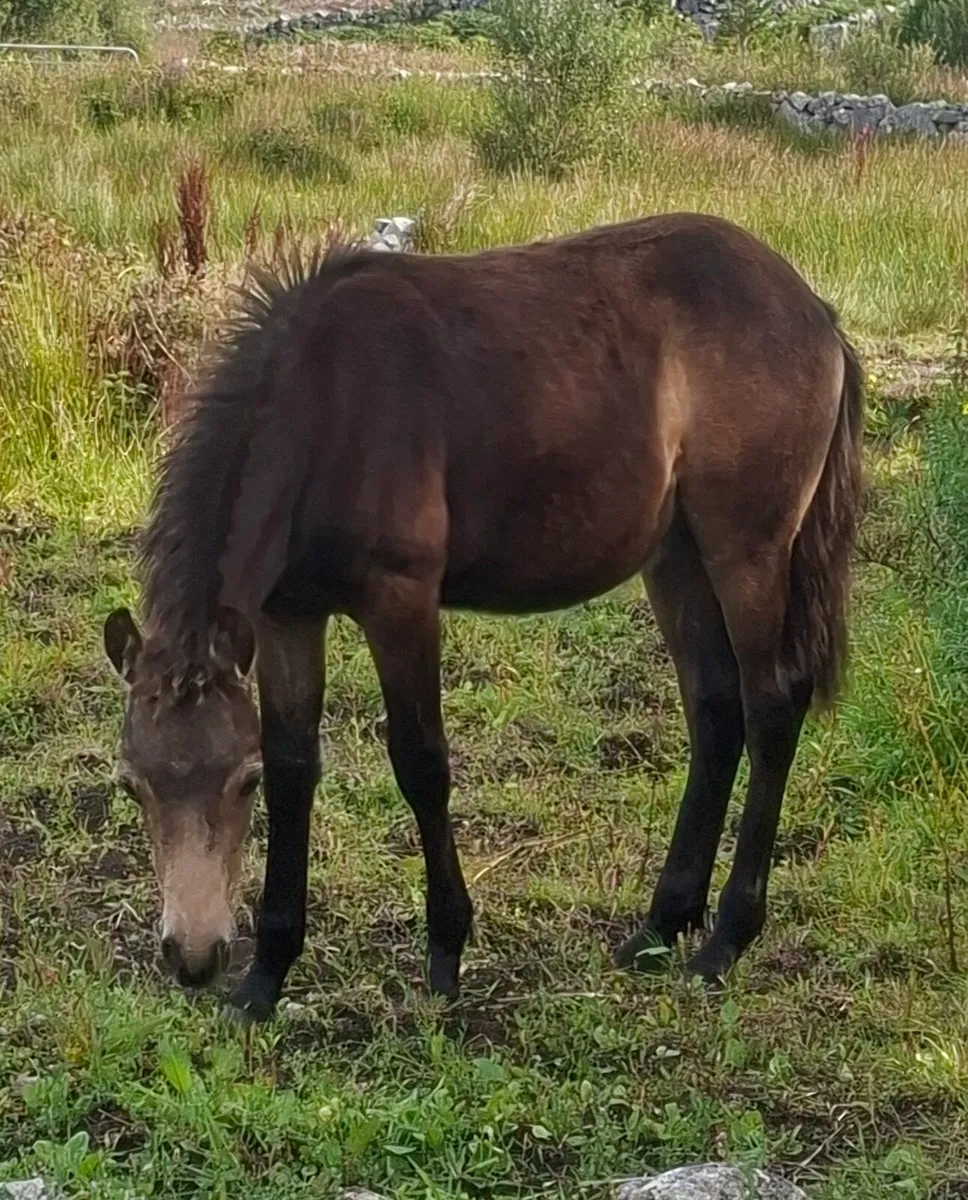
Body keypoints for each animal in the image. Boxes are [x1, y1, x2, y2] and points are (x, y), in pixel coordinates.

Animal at [103, 213, 863, 1023]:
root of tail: (814, 311)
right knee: (716, 709)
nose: (192, 958)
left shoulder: (400, 601)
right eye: (132, 784)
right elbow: (296, 764)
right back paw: (662, 925)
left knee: (771, 704)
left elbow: (420, 762)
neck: (324, 407)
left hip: (746, 546)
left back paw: (726, 938)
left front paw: (446, 951)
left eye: (237, 784)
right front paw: (265, 977)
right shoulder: (286, 618)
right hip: (677, 553)